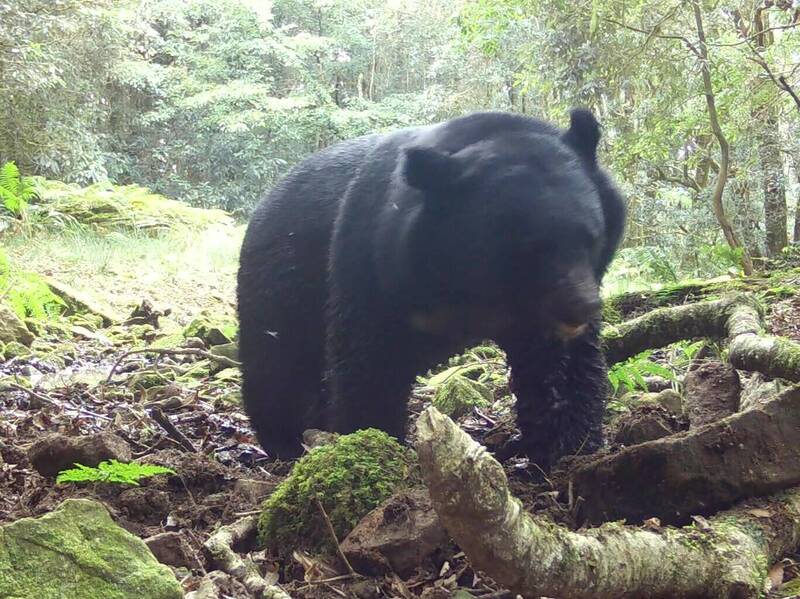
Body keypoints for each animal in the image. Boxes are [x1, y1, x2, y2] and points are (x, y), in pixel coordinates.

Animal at [238, 111, 624, 468]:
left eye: (591, 237)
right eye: (527, 250)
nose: (581, 307)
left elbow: (561, 366)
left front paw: (570, 446)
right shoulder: (374, 264)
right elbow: (369, 360)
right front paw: (374, 443)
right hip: (280, 289)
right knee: (278, 370)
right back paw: (285, 441)